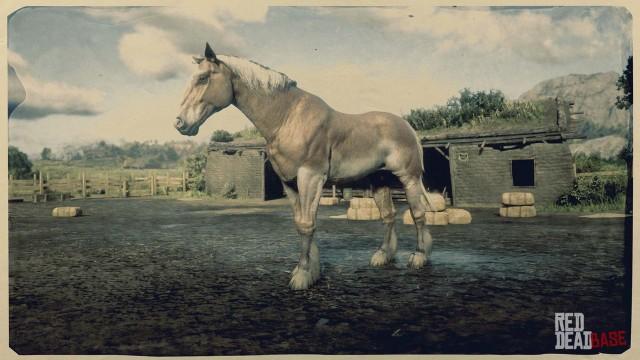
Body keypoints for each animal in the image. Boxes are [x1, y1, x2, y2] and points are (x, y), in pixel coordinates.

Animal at [175, 43, 436, 290]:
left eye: (203, 78)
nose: (180, 123)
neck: (287, 118)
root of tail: (407, 127)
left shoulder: (310, 177)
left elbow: (307, 224)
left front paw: (302, 275)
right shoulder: (290, 183)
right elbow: (300, 223)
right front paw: (311, 269)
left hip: (409, 178)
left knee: (418, 214)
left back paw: (419, 257)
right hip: (379, 181)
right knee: (388, 217)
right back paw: (383, 255)